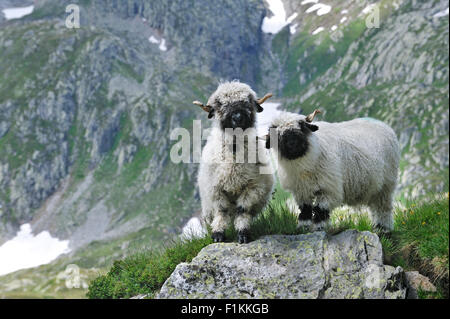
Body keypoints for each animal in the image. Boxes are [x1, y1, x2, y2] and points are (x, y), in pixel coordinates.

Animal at [193, 81, 274, 244]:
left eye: (248, 101)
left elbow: (242, 210)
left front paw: (243, 234)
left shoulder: (253, 187)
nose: (238, 116)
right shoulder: (215, 189)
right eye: (220, 104)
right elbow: (221, 211)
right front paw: (218, 234)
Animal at [266, 112, 400, 232]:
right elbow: (305, 209)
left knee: (383, 207)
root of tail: (382, 124)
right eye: (277, 134)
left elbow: (320, 210)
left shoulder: (329, 188)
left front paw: (319, 228)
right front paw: (303, 227)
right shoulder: (301, 190)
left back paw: (383, 228)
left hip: (387, 184)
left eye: (302, 126)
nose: (292, 144)